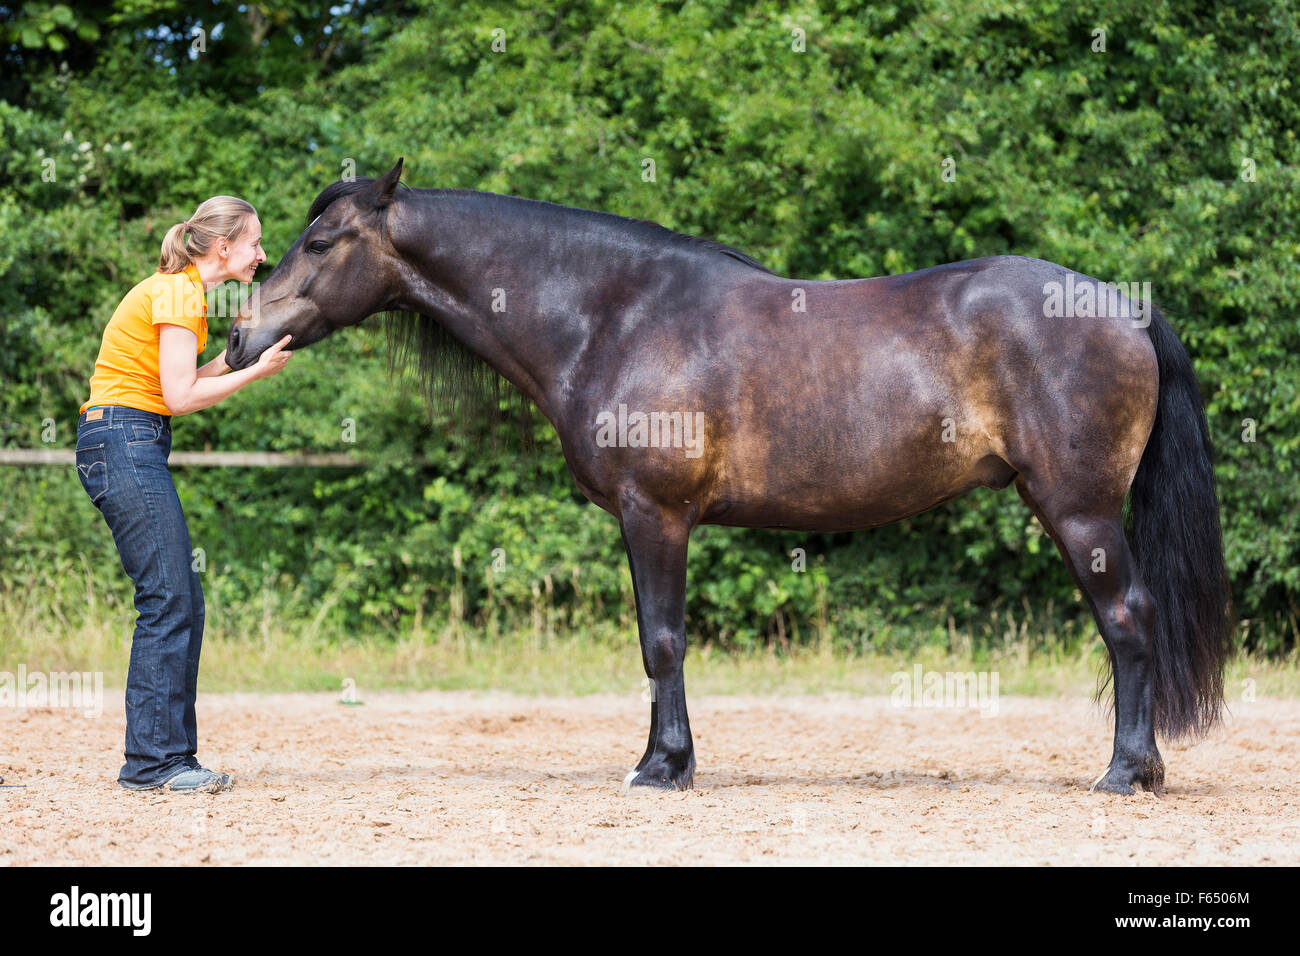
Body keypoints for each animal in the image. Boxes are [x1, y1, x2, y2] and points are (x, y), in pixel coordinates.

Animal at [227, 159, 1231, 796]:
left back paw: (1125, 773)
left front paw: (662, 768)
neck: (614, 315)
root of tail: (1125, 308)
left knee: (1127, 623)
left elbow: (663, 643)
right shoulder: (644, 520)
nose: (239, 337)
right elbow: (654, 643)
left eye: (323, 242)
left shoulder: (656, 513)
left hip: (1080, 512)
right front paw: (662, 759)